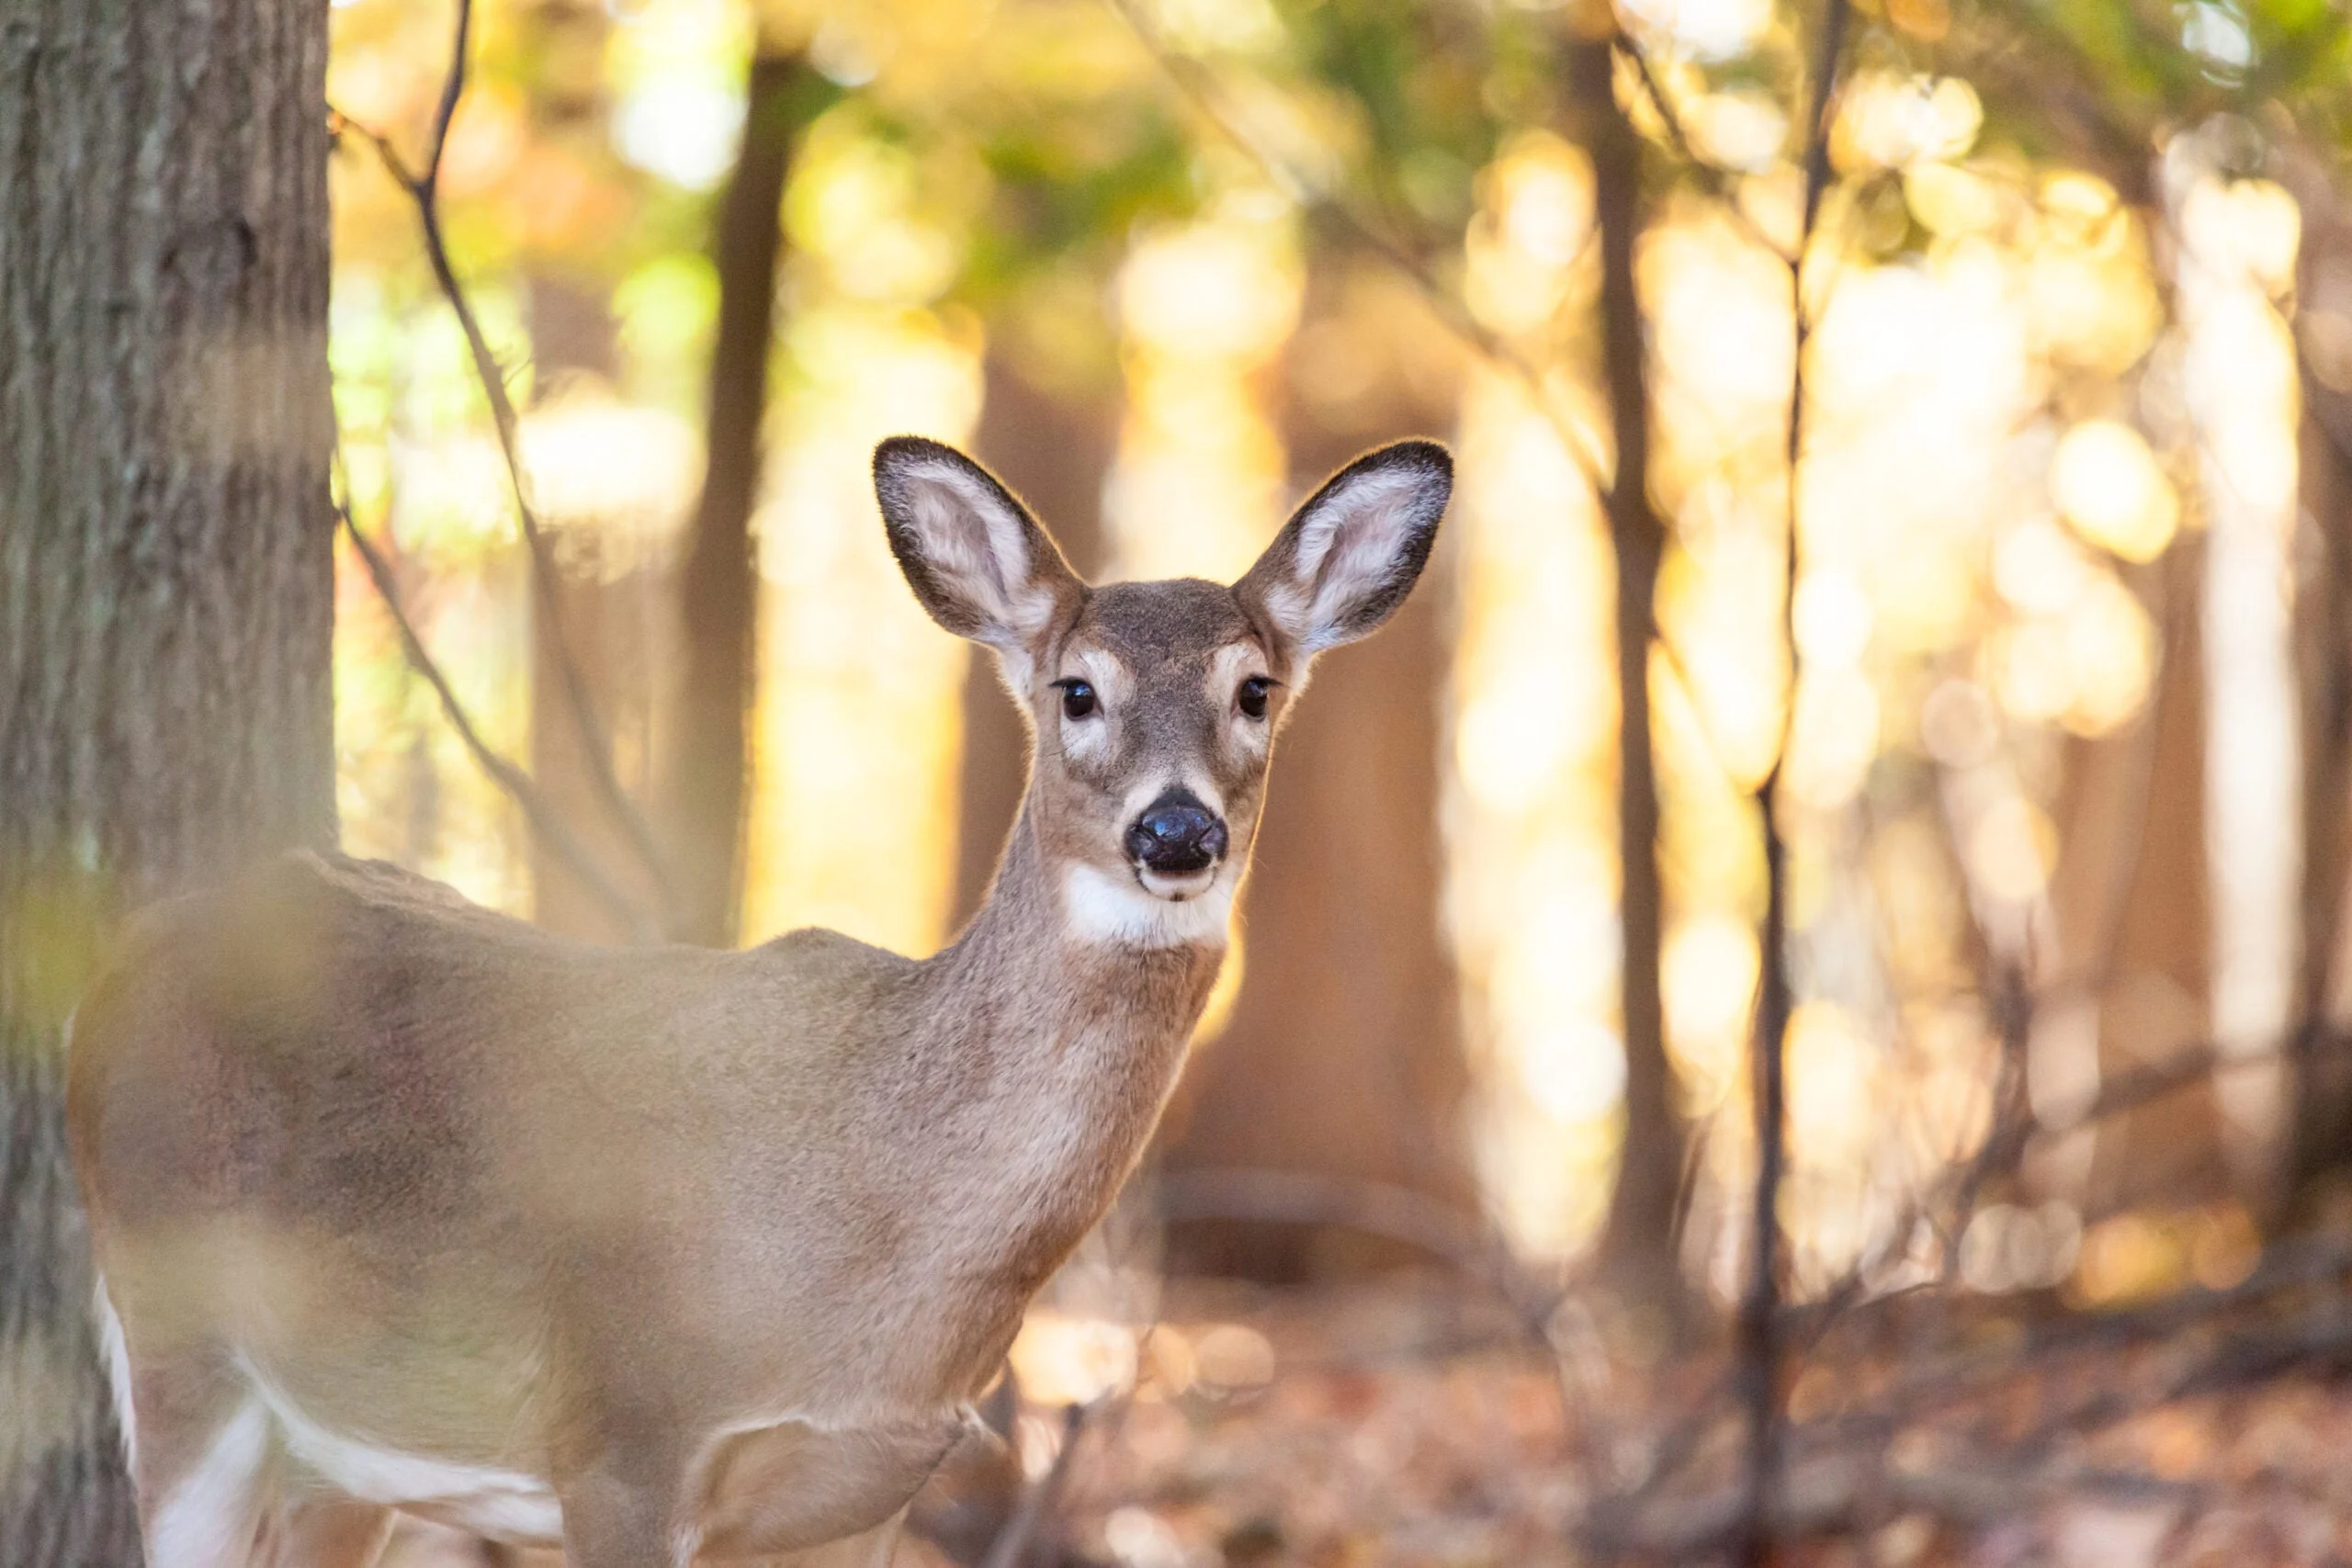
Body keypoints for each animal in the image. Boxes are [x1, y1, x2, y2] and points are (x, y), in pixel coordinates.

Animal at [74, 434, 1448, 1568]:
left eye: (1254, 690)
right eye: (1077, 690)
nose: (1175, 831)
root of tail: (115, 970)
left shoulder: (862, 1489)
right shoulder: (624, 1431)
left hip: (346, 1453)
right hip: (176, 1328)